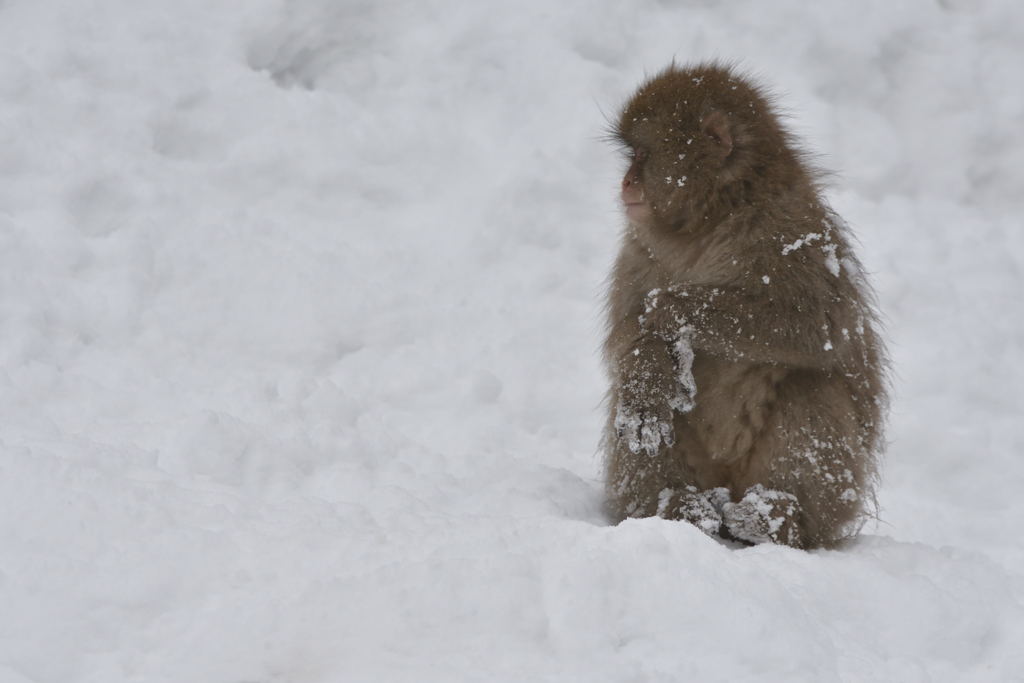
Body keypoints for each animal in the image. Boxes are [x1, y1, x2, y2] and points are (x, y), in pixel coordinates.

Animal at [602, 61, 884, 548]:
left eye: (641, 153)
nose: (626, 183)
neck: (710, 221)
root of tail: (726, 486)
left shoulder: (792, 234)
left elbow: (822, 328)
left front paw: (669, 312)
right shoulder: (639, 250)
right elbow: (622, 338)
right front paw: (648, 368)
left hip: (828, 501)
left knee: (813, 384)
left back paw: (775, 517)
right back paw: (675, 505)